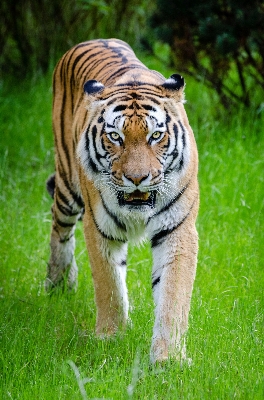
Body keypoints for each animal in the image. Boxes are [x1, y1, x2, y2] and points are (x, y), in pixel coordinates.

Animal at [46, 39, 198, 364]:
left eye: (156, 135)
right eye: (115, 136)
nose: (137, 178)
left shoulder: (177, 229)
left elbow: (173, 293)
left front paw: (168, 358)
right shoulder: (99, 227)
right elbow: (110, 285)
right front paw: (110, 338)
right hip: (67, 185)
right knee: (59, 226)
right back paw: (58, 283)